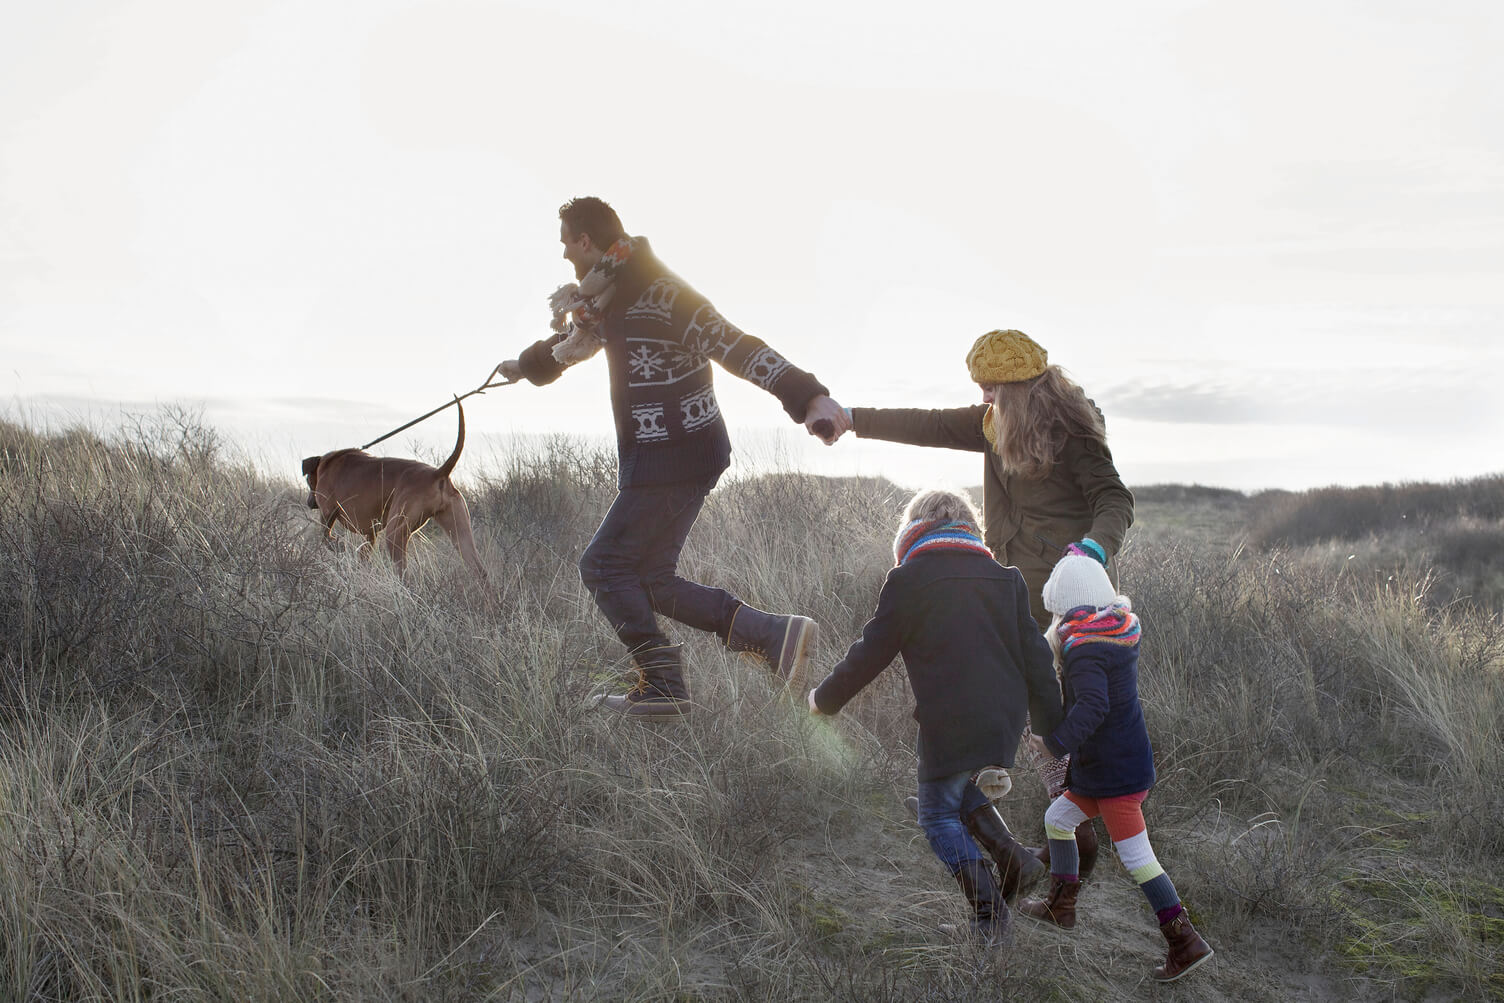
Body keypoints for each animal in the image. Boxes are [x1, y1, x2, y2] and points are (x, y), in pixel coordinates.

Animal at [302, 403, 490, 580]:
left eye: (308, 481)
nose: (309, 502)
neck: (325, 464)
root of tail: (438, 473)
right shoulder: (371, 532)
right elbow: (364, 552)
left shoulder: (327, 513)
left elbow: (325, 536)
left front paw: (337, 545)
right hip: (460, 532)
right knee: (480, 570)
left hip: (395, 532)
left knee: (403, 573)